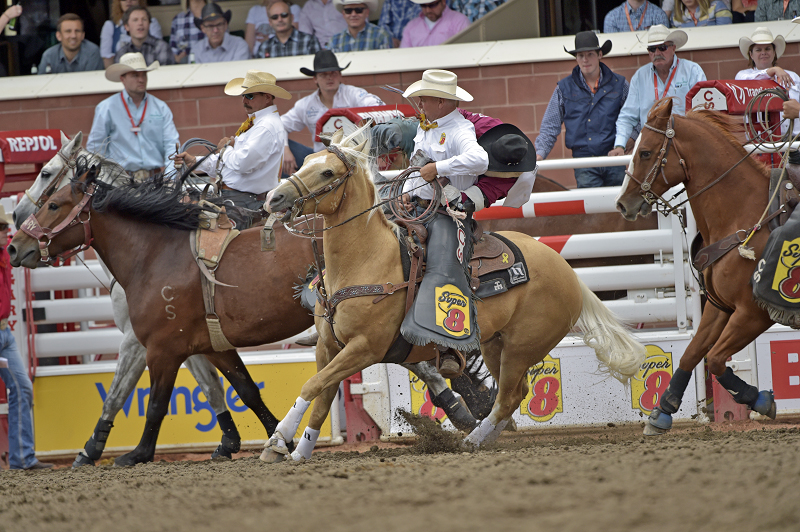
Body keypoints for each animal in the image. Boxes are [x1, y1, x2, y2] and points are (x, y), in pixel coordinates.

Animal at [261, 123, 646, 462]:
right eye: (306, 162)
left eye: (327, 172)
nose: (273, 197)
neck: (367, 259)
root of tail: (566, 271)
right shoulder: (329, 347)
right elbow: (321, 397)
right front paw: (294, 448)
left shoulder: (364, 348)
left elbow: (312, 387)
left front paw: (278, 442)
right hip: (495, 344)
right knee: (515, 393)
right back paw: (480, 437)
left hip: (523, 346)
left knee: (508, 398)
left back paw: (470, 442)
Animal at [615, 97, 778, 435]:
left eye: (645, 152)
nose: (623, 204)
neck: (746, 214)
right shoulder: (721, 306)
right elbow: (692, 352)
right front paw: (661, 412)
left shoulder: (753, 312)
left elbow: (714, 359)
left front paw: (759, 399)